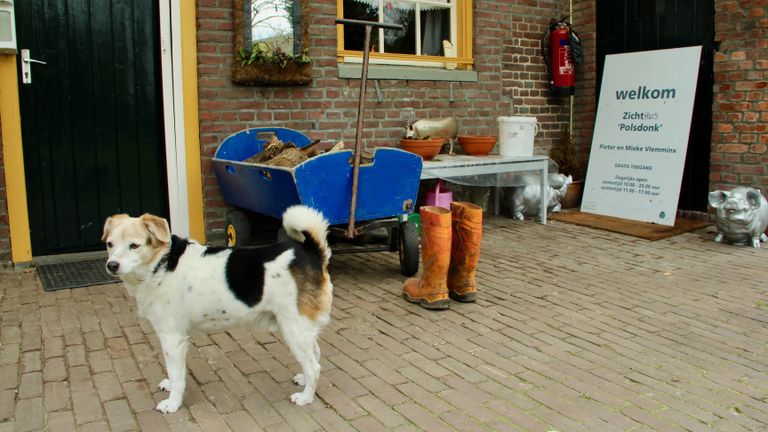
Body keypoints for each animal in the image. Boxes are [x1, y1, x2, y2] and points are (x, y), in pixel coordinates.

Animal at [100, 208, 332, 414]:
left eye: (134, 246)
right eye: (110, 244)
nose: (112, 265)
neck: (161, 264)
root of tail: (311, 251)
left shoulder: (172, 338)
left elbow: (177, 375)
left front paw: (173, 403)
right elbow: (175, 372)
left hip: (294, 328)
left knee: (314, 367)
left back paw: (306, 397)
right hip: (300, 328)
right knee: (315, 354)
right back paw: (303, 379)